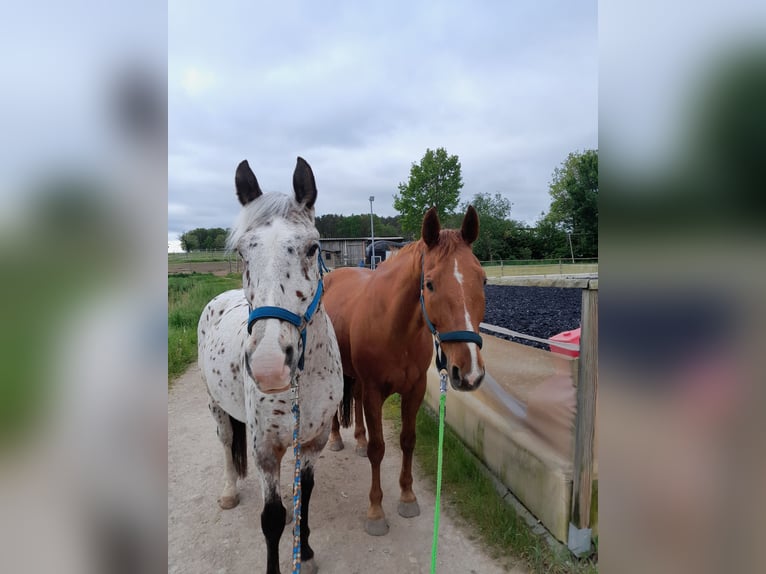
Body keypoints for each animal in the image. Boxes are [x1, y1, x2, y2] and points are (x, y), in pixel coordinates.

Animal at [200, 158, 344, 574]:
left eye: (313, 248)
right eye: (243, 254)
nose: (268, 366)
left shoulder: (314, 439)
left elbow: (305, 494)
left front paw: (305, 551)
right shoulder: (264, 447)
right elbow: (272, 518)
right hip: (216, 407)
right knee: (226, 443)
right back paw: (229, 492)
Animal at [324, 206, 486, 536]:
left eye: (483, 280)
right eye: (430, 283)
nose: (469, 372)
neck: (395, 328)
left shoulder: (414, 390)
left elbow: (407, 441)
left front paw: (408, 497)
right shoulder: (375, 392)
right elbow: (378, 448)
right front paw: (376, 511)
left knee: (354, 398)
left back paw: (358, 439)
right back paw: (335, 438)